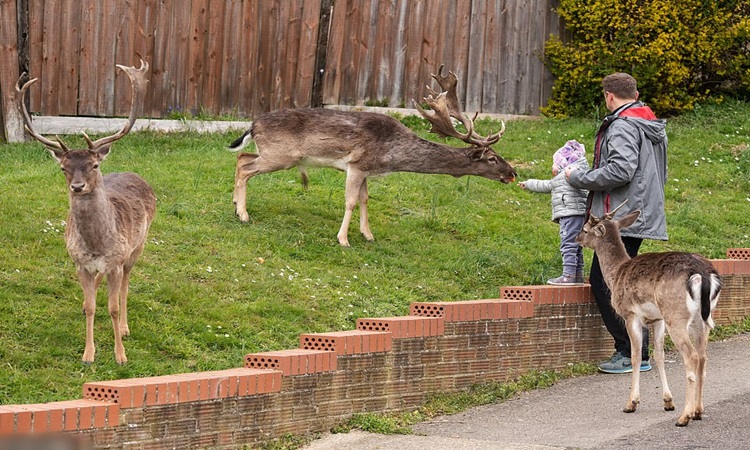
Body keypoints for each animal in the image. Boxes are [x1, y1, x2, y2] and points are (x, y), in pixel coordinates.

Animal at [17, 59, 155, 364]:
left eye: (94, 165)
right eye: (63, 168)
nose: (78, 186)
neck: (97, 246)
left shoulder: (116, 260)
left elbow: (112, 307)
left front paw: (120, 355)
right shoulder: (79, 263)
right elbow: (93, 307)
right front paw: (88, 354)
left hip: (138, 247)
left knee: (126, 284)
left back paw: (125, 327)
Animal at [229, 66, 517, 246]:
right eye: (492, 158)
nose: (513, 173)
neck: (392, 153)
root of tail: (253, 125)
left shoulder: (366, 170)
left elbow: (365, 200)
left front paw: (368, 235)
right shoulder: (356, 164)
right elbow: (350, 202)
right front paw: (343, 240)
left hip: (272, 152)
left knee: (241, 156)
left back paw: (235, 204)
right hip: (282, 156)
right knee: (245, 167)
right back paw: (243, 215)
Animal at [575, 201, 722, 426]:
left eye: (584, 229)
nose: (576, 238)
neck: (616, 274)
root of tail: (703, 275)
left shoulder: (630, 315)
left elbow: (636, 356)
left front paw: (631, 403)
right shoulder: (657, 319)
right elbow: (659, 355)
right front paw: (668, 401)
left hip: (675, 314)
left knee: (692, 356)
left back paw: (684, 416)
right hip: (702, 318)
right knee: (703, 358)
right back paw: (698, 411)